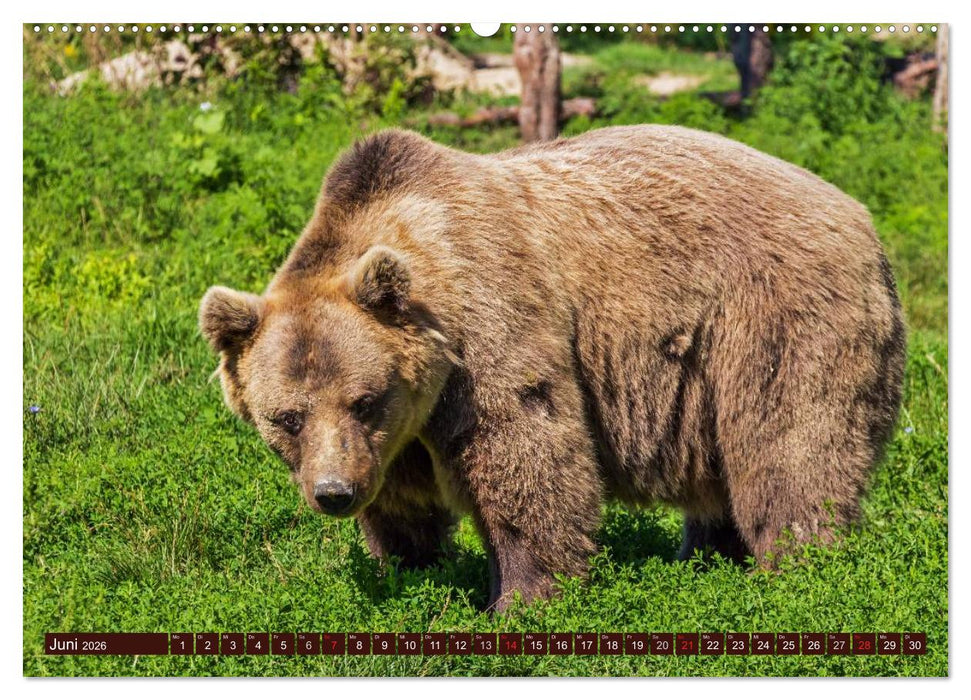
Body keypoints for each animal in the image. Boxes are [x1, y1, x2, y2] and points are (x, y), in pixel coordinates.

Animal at [199, 125, 905, 612]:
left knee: (790, 447)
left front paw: (520, 598)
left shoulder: (488, 329)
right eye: (286, 417)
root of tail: (861, 216)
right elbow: (402, 501)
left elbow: (527, 454)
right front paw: (410, 567)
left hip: (774, 319)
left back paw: (797, 567)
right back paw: (705, 557)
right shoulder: (398, 433)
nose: (333, 493)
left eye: (363, 398)